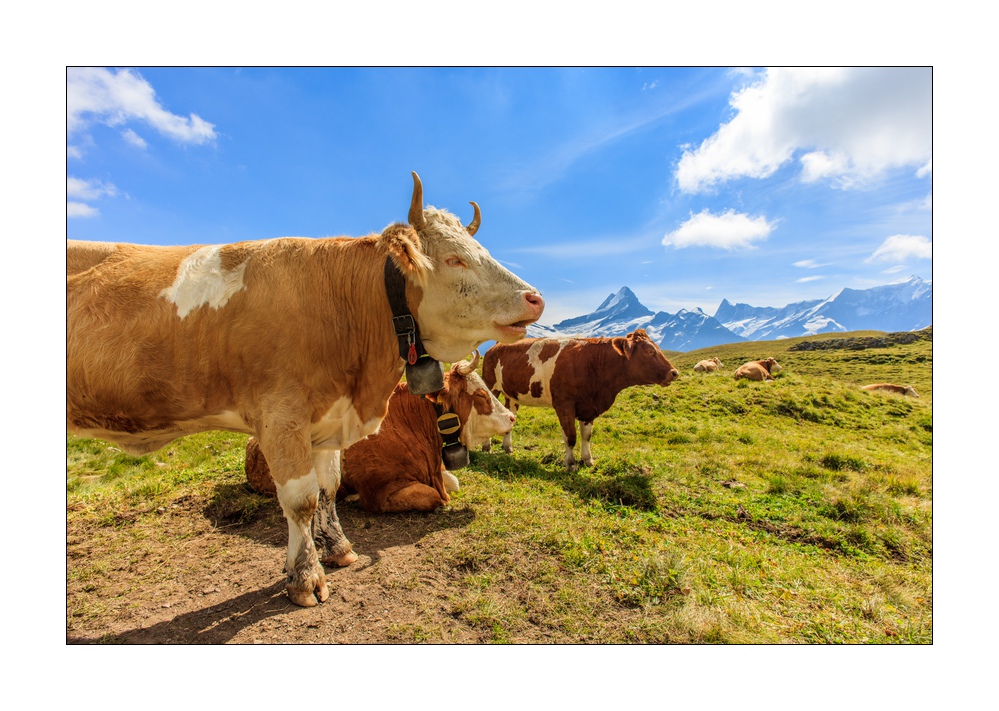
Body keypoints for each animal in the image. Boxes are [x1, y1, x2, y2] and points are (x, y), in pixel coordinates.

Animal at [245, 352, 516, 512]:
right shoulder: (382, 491)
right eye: (480, 395)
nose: (511, 418)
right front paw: (352, 497)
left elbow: (455, 483)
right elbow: (433, 497)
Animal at [482, 329, 679, 470]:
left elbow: (586, 435)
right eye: (649, 351)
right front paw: (571, 463)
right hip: (490, 386)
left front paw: (588, 460)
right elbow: (571, 436)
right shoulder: (564, 404)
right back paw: (486, 447)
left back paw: (507, 447)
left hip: (512, 395)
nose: (674, 372)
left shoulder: (589, 407)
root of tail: (497, 345)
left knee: (509, 416)